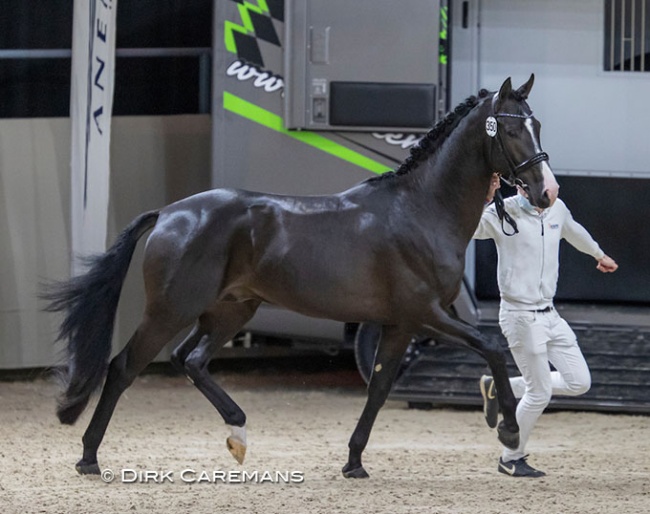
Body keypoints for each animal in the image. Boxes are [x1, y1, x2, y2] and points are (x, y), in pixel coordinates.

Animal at [43, 75, 556, 476]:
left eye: (537, 124)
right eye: (512, 129)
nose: (546, 191)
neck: (421, 210)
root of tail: (170, 212)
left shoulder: (400, 324)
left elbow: (379, 389)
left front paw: (354, 462)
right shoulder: (426, 314)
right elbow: (492, 348)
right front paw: (509, 430)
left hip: (230, 310)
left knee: (190, 359)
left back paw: (238, 432)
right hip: (171, 309)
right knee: (124, 367)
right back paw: (89, 457)